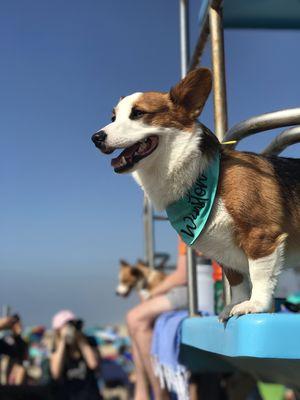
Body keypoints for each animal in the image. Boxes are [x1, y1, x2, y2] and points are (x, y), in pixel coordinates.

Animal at [92, 68, 300, 318]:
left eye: (139, 113)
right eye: (113, 118)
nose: (96, 138)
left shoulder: (261, 235)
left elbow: (259, 274)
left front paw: (255, 304)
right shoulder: (226, 255)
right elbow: (238, 281)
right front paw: (235, 304)